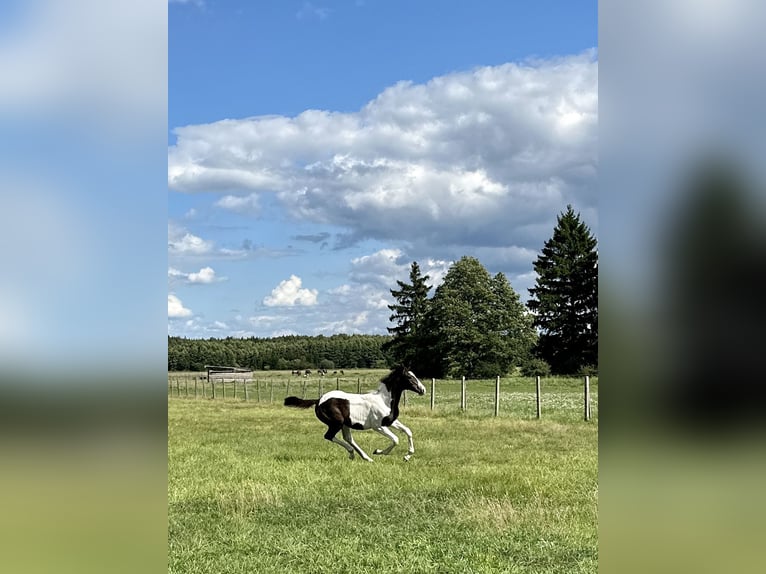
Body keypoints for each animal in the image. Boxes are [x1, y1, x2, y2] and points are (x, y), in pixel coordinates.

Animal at [284, 368, 426, 464]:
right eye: (409, 377)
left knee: (348, 438)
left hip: (344, 424)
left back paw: (366, 458)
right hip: (337, 423)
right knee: (330, 436)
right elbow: (396, 439)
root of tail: (319, 400)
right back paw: (353, 453)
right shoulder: (378, 426)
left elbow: (408, 431)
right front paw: (378, 451)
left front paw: (407, 456)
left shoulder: (390, 422)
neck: (384, 400)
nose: (423, 390)